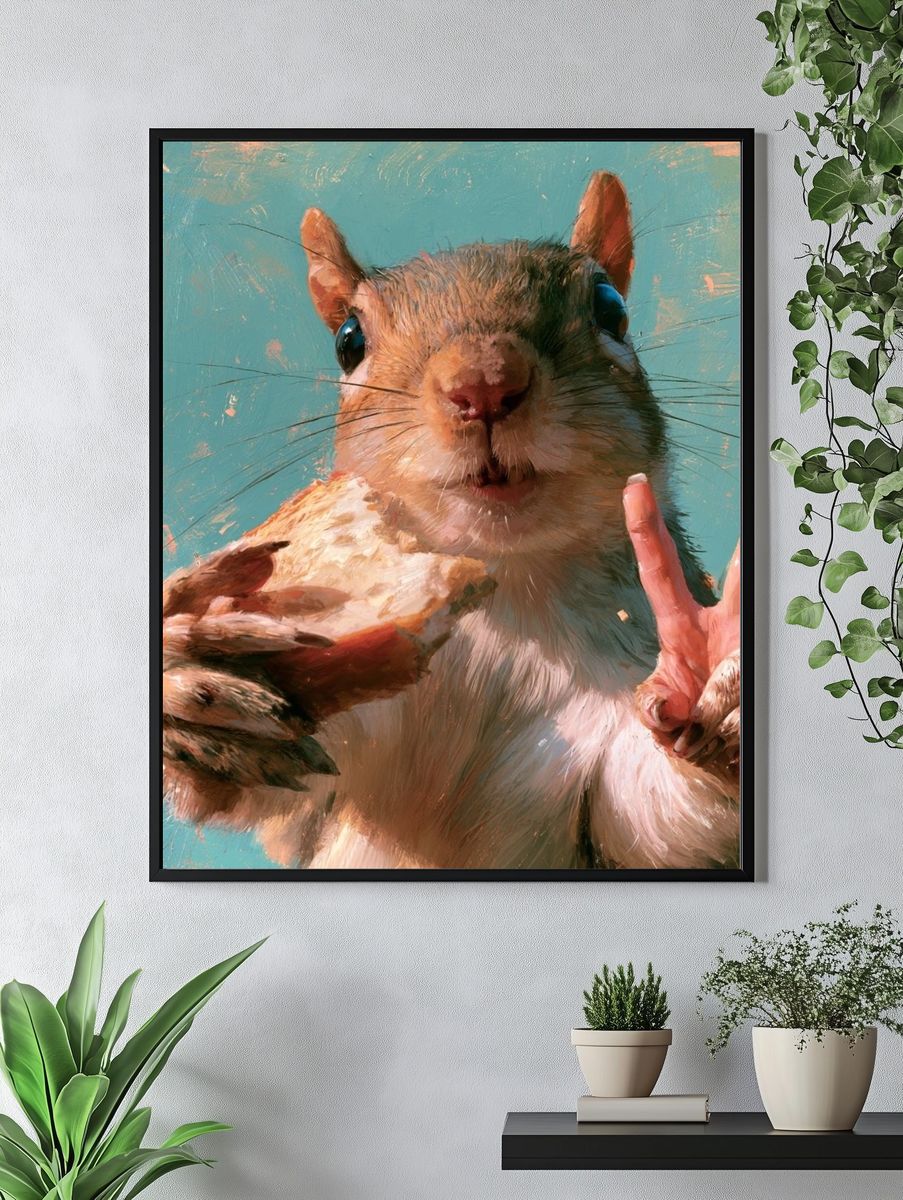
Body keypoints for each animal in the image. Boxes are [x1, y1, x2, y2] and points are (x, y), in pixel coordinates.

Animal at [162, 170, 741, 870]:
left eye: (610, 308)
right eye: (348, 340)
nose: (484, 383)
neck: (510, 600)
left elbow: (655, 816)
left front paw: (713, 690)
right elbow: (258, 801)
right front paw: (194, 674)